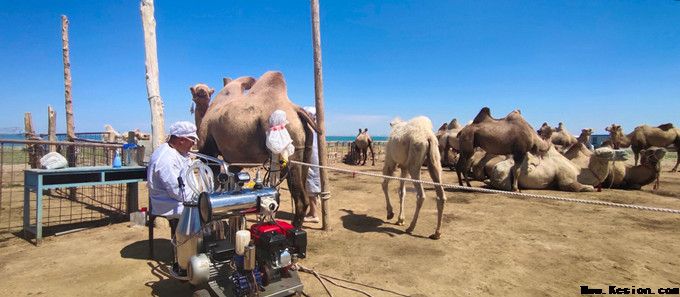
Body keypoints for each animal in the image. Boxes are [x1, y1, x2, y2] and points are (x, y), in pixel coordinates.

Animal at [191, 71, 318, 227]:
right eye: (197, 90)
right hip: (305, 149)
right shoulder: (233, 159)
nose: (202, 92)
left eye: (201, 91)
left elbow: (213, 183)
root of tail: (296, 110)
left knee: (300, 199)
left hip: (289, 149)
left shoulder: (208, 149)